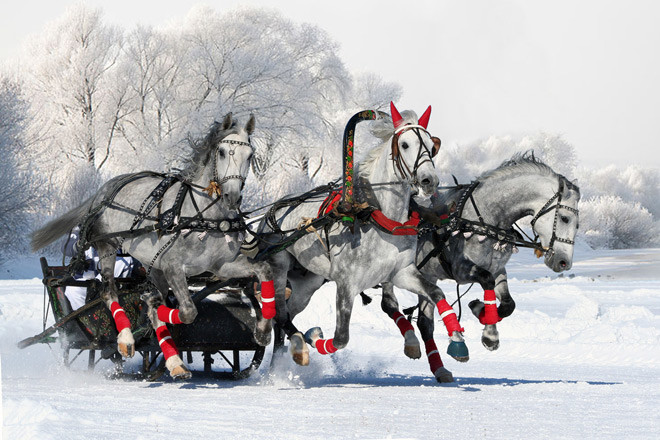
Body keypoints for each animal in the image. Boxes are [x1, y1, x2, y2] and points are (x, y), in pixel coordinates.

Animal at [29, 112, 274, 378]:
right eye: (221, 152)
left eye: (249, 154)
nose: (232, 197)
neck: (202, 216)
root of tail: (103, 191)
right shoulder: (174, 267)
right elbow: (187, 311)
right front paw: (149, 313)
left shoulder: (222, 265)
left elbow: (263, 270)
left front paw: (263, 330)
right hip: (108, 246)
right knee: (108, 290)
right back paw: (127, 338)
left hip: (152, 264)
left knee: (156, 299)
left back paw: (174, 359)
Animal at [260, 103, 466, 382]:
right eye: (405, 144)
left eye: (431, 145)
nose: (428, 180)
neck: (380, 219)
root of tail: (270, 213)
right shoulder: (346, 283)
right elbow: (341, 338)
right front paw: (314, 337)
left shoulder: (401, 272)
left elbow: (436, 293)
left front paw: (457, 340)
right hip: (279, 266)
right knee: (280, 314)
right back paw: (298, 348)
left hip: (307, 282)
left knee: (287, 315)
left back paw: (282, 361)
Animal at [378, 153, 580, 380]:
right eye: (565, 218)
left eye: (577, 224)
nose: (564, 262)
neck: (483, 220)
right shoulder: (461, 269)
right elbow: (486, 280)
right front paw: (489, 333)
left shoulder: (498, 269)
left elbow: (508, 304)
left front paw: (480, 310)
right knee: (389, 305)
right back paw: (412, 342)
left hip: (428, 276)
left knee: (425, 322)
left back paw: (440, 368)